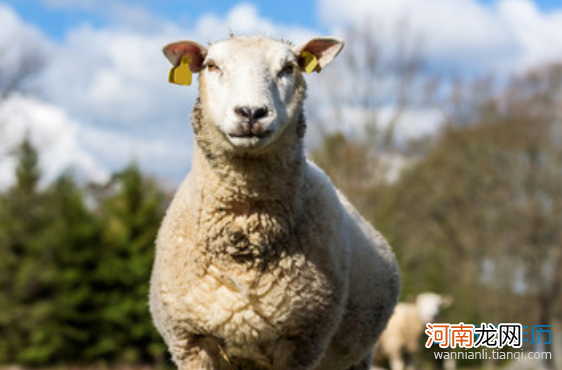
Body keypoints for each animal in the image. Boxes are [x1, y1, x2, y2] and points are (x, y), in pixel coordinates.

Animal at [148, 34, 398, 370]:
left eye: (288, 68)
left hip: (356, 356)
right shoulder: (191, 341)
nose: (251, 112)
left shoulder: (302, 342)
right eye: (212, 65)